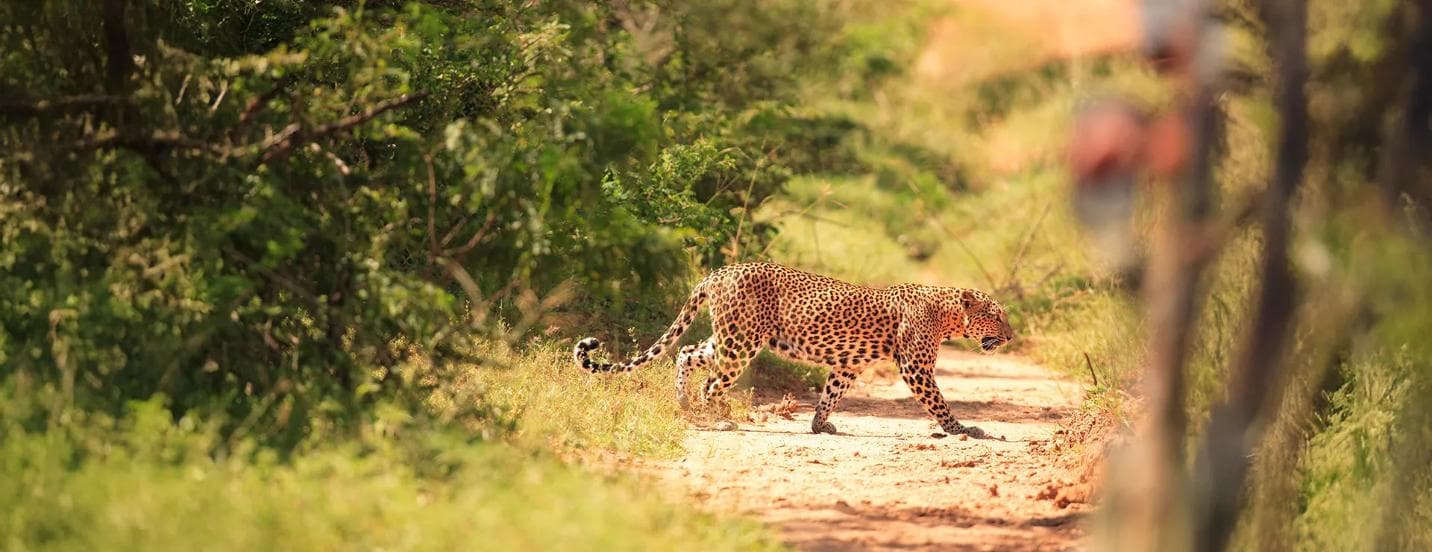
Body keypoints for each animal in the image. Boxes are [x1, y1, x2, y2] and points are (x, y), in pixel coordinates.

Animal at [572, 262, 1013, 437]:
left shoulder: (848, 365)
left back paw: (684, 404)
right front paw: (964, 430)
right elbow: (939, 403)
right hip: (741, 343)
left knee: (688, 354)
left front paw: (819, 425)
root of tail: (717, 273)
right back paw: (719, 418)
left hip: (729, 337)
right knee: (712, 382)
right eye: (997, 316)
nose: (1010, 336)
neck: (948, 314)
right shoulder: (916, 367)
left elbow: (831, 394)